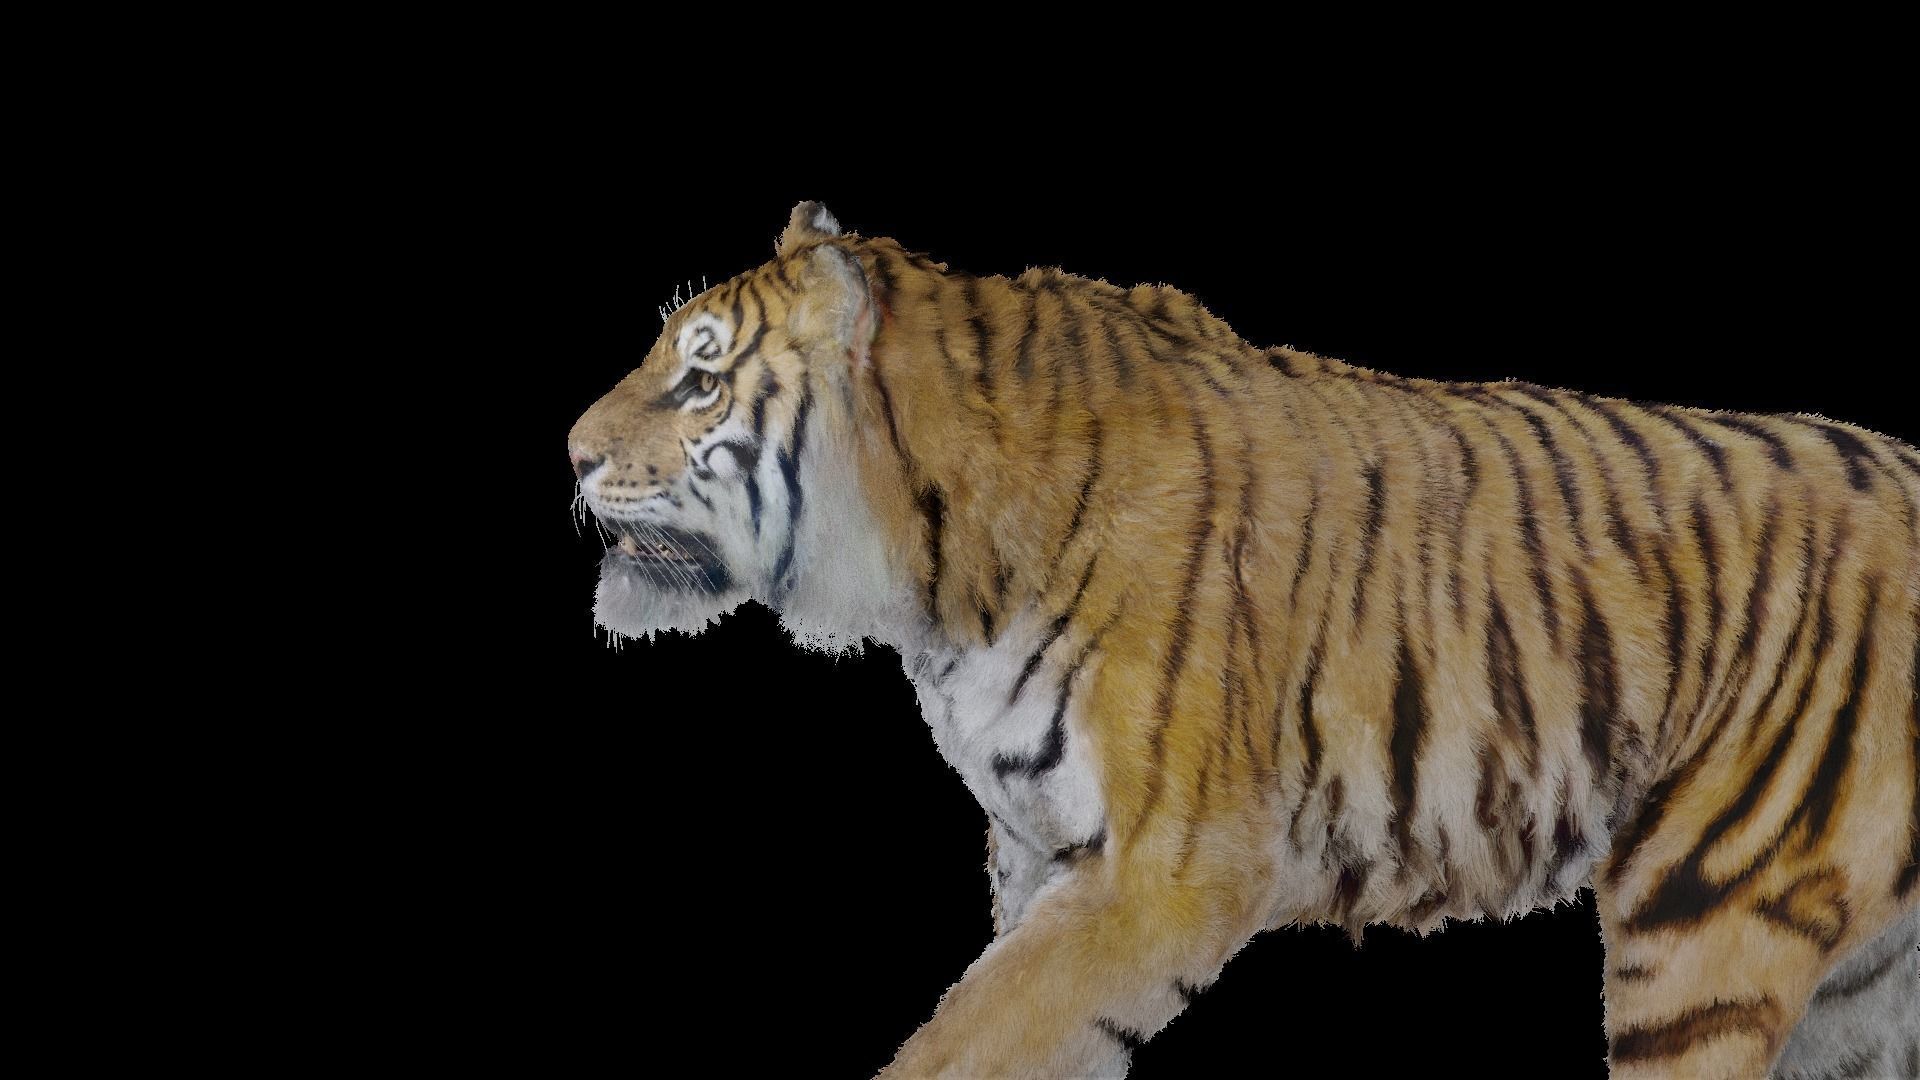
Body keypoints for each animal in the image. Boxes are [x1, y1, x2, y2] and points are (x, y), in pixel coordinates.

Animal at [568, 202, 1919, 1079]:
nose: (570, 454)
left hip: (1711, 914)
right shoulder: (1035, 854)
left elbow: (967, 1045)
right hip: (1860, 990)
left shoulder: (1166, 868)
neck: (934, 584)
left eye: (699, 381)